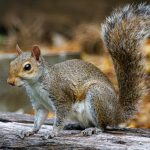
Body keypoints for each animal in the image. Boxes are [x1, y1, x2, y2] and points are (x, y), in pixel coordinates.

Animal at [6, 3, 148, 139]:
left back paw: (93, 129)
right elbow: (38, 121)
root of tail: (116, 114)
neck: (35, 84)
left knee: (103, 126)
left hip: (97, 96)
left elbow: (60, 118)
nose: (10, 82)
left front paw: (53, 133)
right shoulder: (39, 104)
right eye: (11, 63)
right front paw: (30, 131)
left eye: (27, 67)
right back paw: (74, 126)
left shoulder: (61, 97)